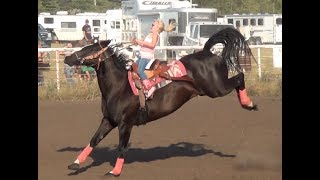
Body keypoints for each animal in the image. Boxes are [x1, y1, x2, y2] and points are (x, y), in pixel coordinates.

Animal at [64, 27, 258, 176]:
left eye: (88, 50)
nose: (67, 58)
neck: (119, 86)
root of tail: (206, 52)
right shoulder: (109, 120)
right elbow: (93, 140)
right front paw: (75, 163)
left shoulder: (126, 124)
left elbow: (121, 147)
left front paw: (115, 171)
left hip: (217, 88)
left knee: (239, 77)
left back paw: (249, 103)